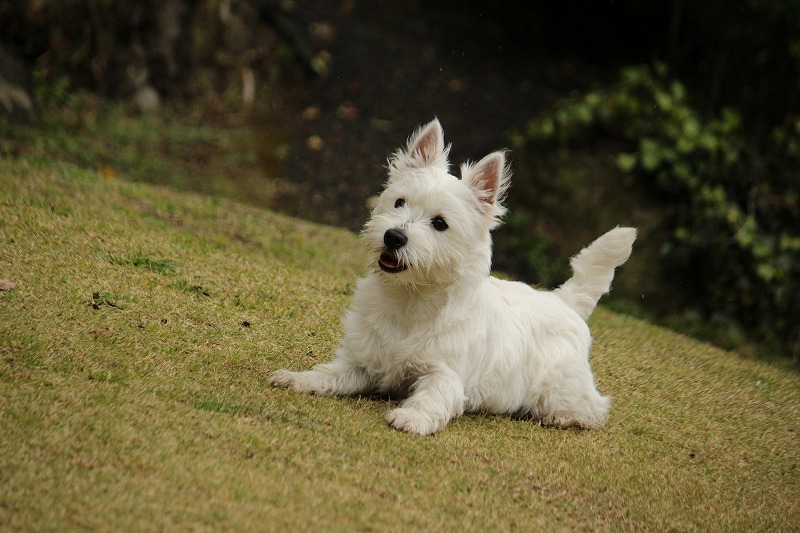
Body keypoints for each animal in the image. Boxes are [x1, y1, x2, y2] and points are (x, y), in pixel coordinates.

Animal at [270, 118, 636, 434]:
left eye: (440, 223)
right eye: (399, 202)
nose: (394, 236)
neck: (410, 298)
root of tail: (565, 300)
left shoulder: (445, 373)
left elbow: (433, 397)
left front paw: (411, 417)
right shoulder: (362, 362)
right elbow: (329, 373)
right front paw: (297, 378)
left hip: (559, 388)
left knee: (592, 408)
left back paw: (563, 417)